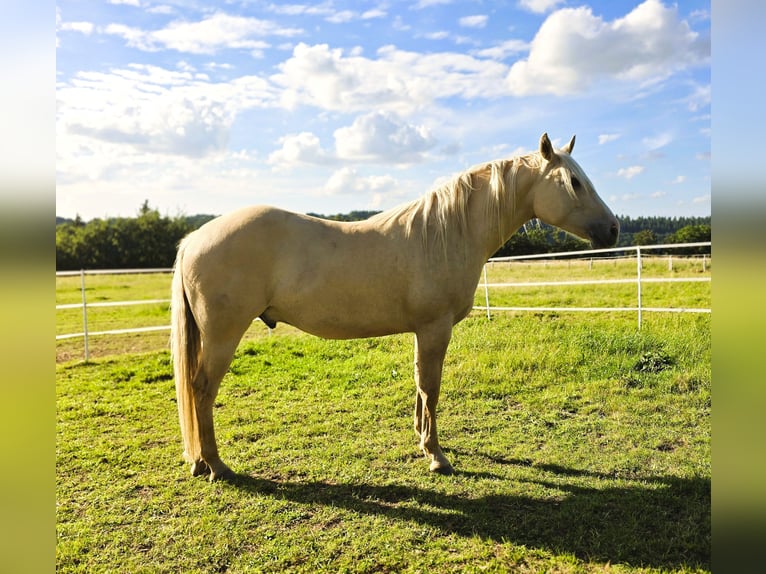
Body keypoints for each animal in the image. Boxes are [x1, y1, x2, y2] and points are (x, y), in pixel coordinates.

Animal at [171, 133, 619, 481]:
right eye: (574, 182)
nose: (613, 230)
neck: (445, 233)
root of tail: (194, 239)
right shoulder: (435, 328)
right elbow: (431, 388)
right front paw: (437, 456)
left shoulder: (422, 331)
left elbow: (420, 386)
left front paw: (422, 441)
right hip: (223, 336)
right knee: (202, 390)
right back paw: (216, 466)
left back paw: (201, 463)